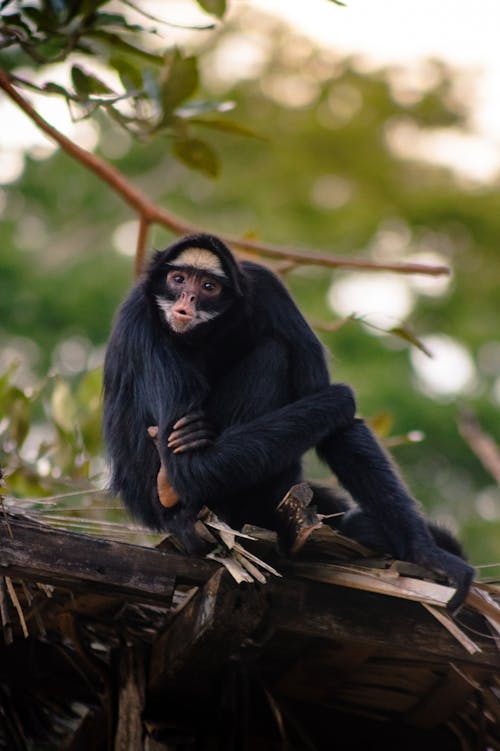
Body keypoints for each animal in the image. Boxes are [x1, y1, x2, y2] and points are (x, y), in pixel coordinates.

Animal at [103, 234, 474, 612]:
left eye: (208, 287)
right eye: (178, 279)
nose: (186, 300)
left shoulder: (267, 287)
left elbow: (339, 427)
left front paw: (425, 553)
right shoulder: (143, 317)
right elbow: (189, 466)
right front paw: (342, 397)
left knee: (274, 352)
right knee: (272, 357)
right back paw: (171, 489)